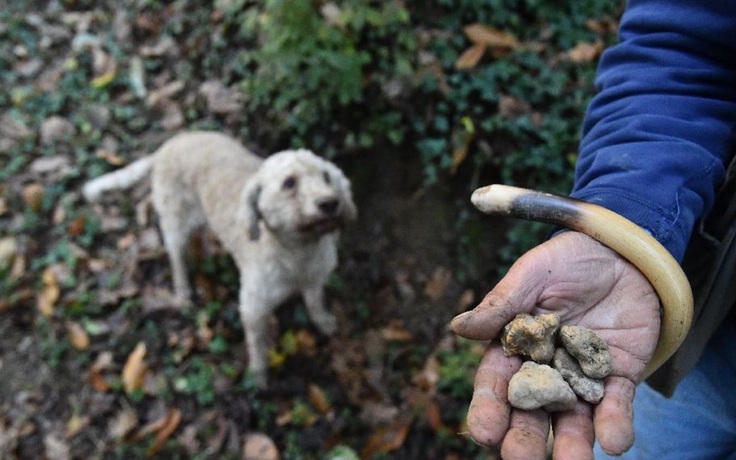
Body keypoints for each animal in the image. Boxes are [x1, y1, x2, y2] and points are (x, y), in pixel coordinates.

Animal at [83, 131, 356, 386]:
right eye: (289, 183)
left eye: (326, 176)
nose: (331, 203)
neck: (299, 252)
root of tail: (169, 144)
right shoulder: (253, 308)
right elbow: (258, 345)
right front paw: (258, 375)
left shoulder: (315, 280)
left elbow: (315, 304)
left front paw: (324, 322)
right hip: (176, 224)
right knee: (176, 257)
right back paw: (182, 288)